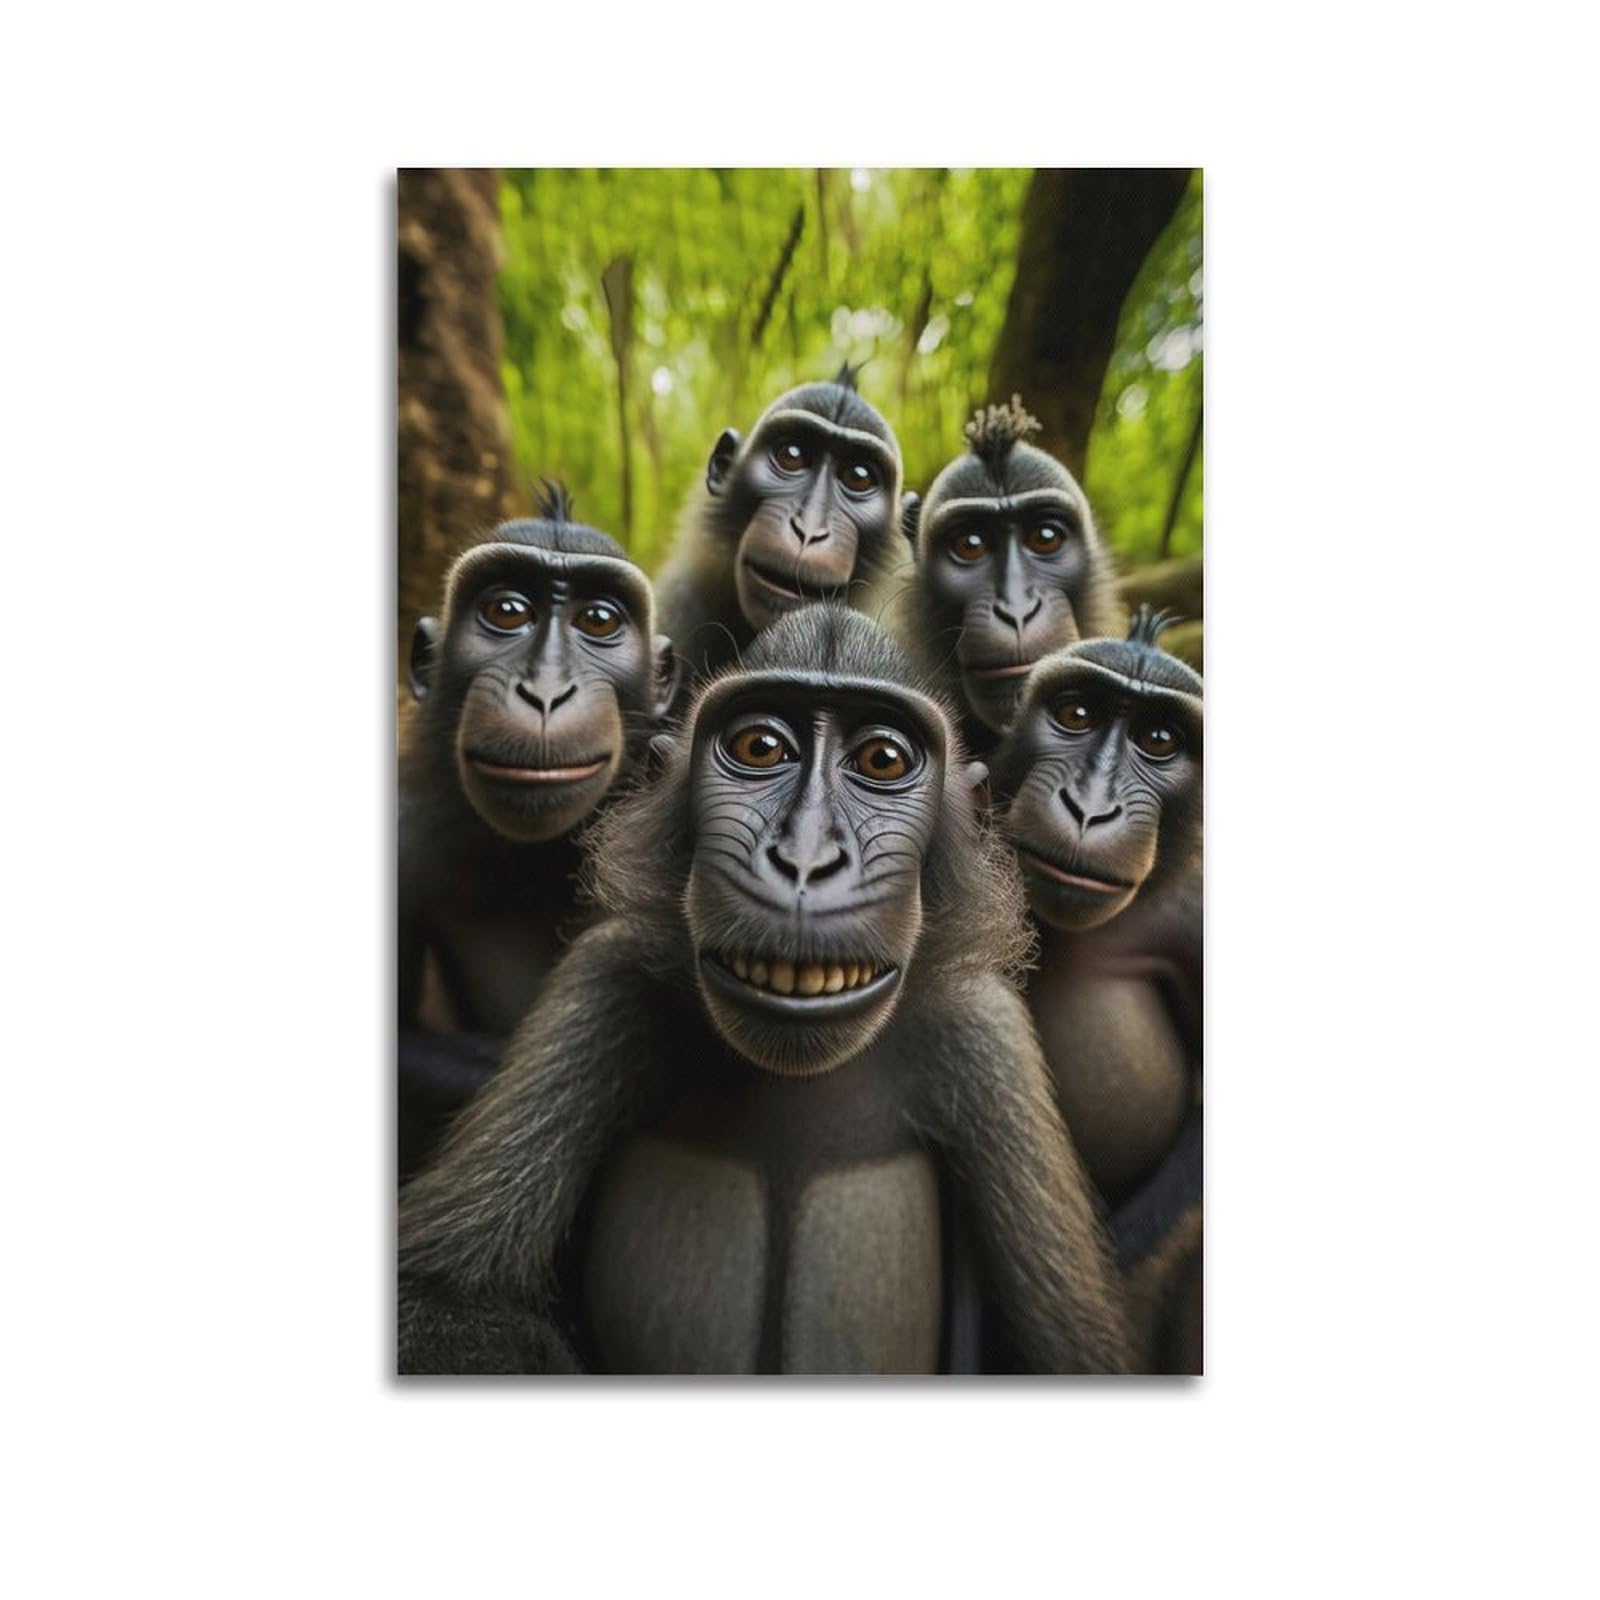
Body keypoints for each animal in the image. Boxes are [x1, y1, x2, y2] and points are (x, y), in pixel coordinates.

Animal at [398, 605, 1133, 1375]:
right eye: (759, 748)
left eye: (883, 761)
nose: (805, 858)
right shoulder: (609, 979)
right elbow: (438, 1303)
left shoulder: (985, 1036)